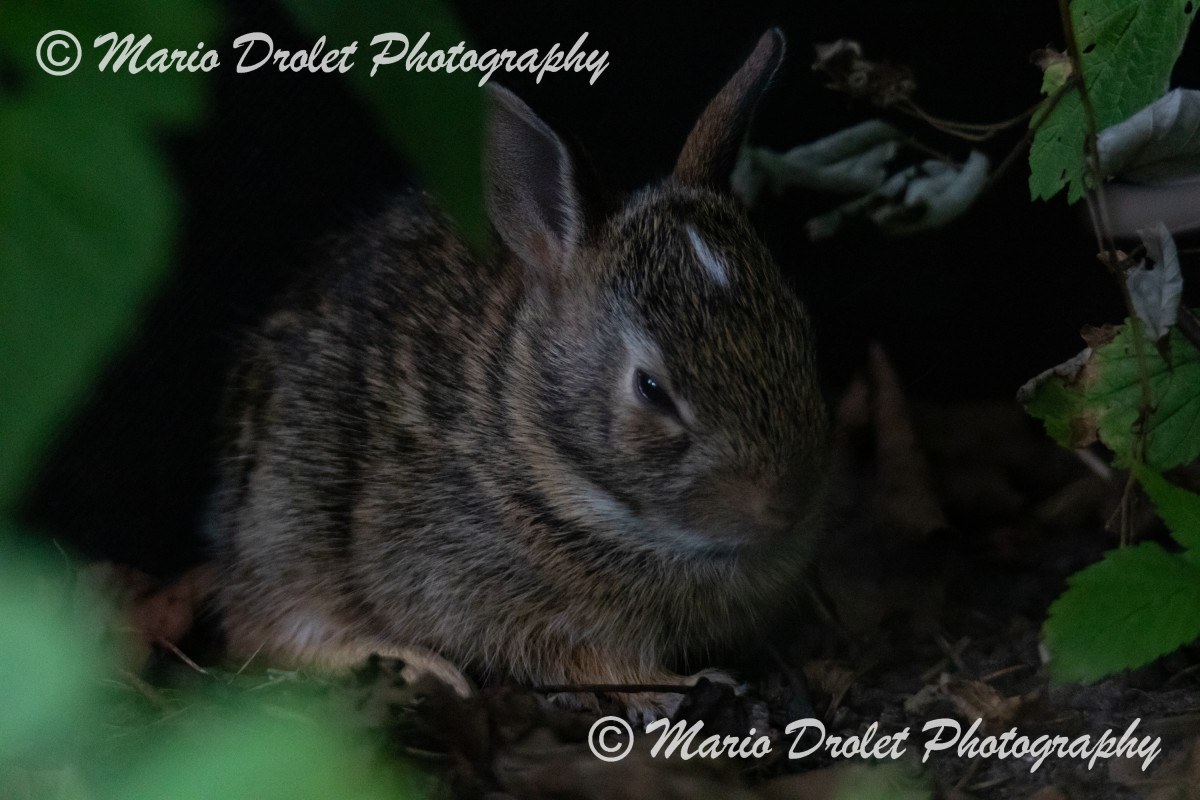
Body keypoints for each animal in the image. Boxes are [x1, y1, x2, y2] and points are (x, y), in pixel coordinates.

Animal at [211, 28, 829, 719]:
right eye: (651, 389)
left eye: (798, 331)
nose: (787, 502)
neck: (535, 444)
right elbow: (580, 659)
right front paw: (686, 684)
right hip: (290, 522)